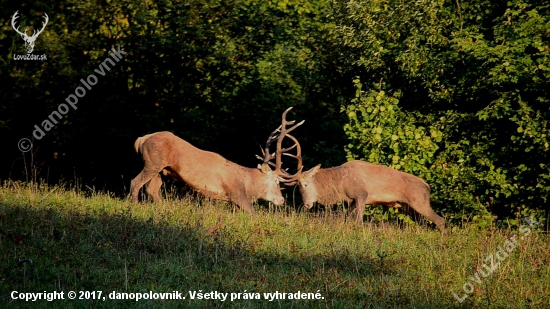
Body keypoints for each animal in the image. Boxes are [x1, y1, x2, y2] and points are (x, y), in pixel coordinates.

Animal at [130, 107, 304, 212]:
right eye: (276, 182)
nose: (281, 200)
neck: (247, 183)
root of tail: (141, 139)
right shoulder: (236, 193)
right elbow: (253, 213)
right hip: (152, 162)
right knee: (135, 182)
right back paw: (135, 205)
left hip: (162, 170)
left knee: (152, 189)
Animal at [280, 117, 448, 231]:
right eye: (298, 188)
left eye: (305, 184)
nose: (307, 205)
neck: (341, 184)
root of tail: (427, 186)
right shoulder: (351, 201)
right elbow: (346, 219)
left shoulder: (361, 194)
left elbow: (358, 222)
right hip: (408, 207)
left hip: (419, 201)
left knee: (441, 220)